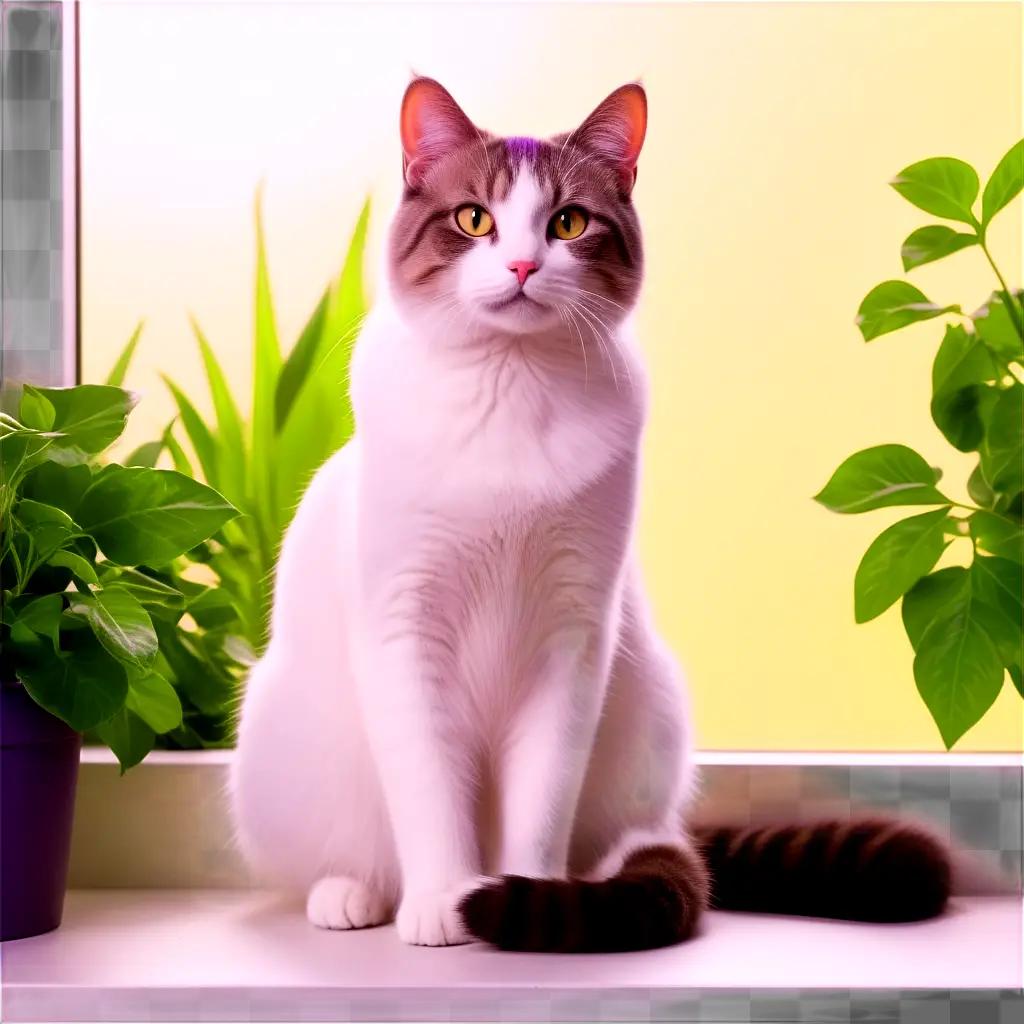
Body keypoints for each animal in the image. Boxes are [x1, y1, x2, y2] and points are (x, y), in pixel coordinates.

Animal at [232, 77, 950, 950]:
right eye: (474, 218)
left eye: (568, 223)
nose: (521, 262)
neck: (509, 389)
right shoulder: (405, 624)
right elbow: (430, 792)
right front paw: (443, 902)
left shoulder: (572, 635)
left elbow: (542, 798)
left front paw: (524, 895)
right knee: (349, 855)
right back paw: (353, 895)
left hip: (652, 713)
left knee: (618, 846)